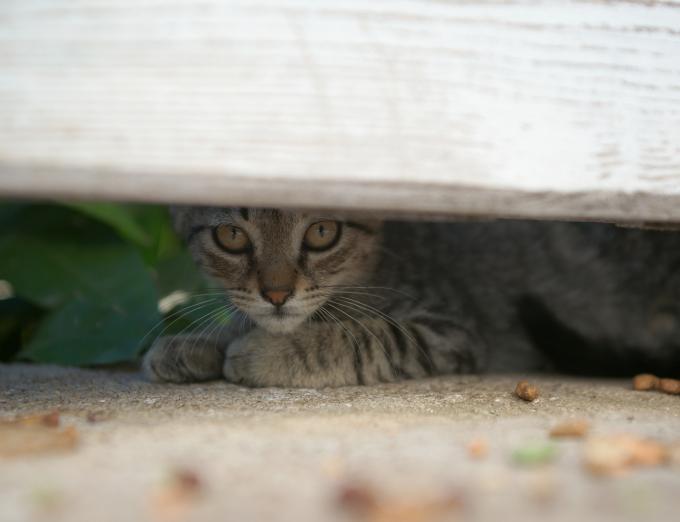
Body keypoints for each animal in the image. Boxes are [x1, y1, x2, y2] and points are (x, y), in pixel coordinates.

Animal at [143, 207, 680, 386]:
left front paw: (268, 352)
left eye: (322, 232)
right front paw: (195, 345)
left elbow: (366, 336)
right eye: (231, 236)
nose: (276, 292)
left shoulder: (451, 331)